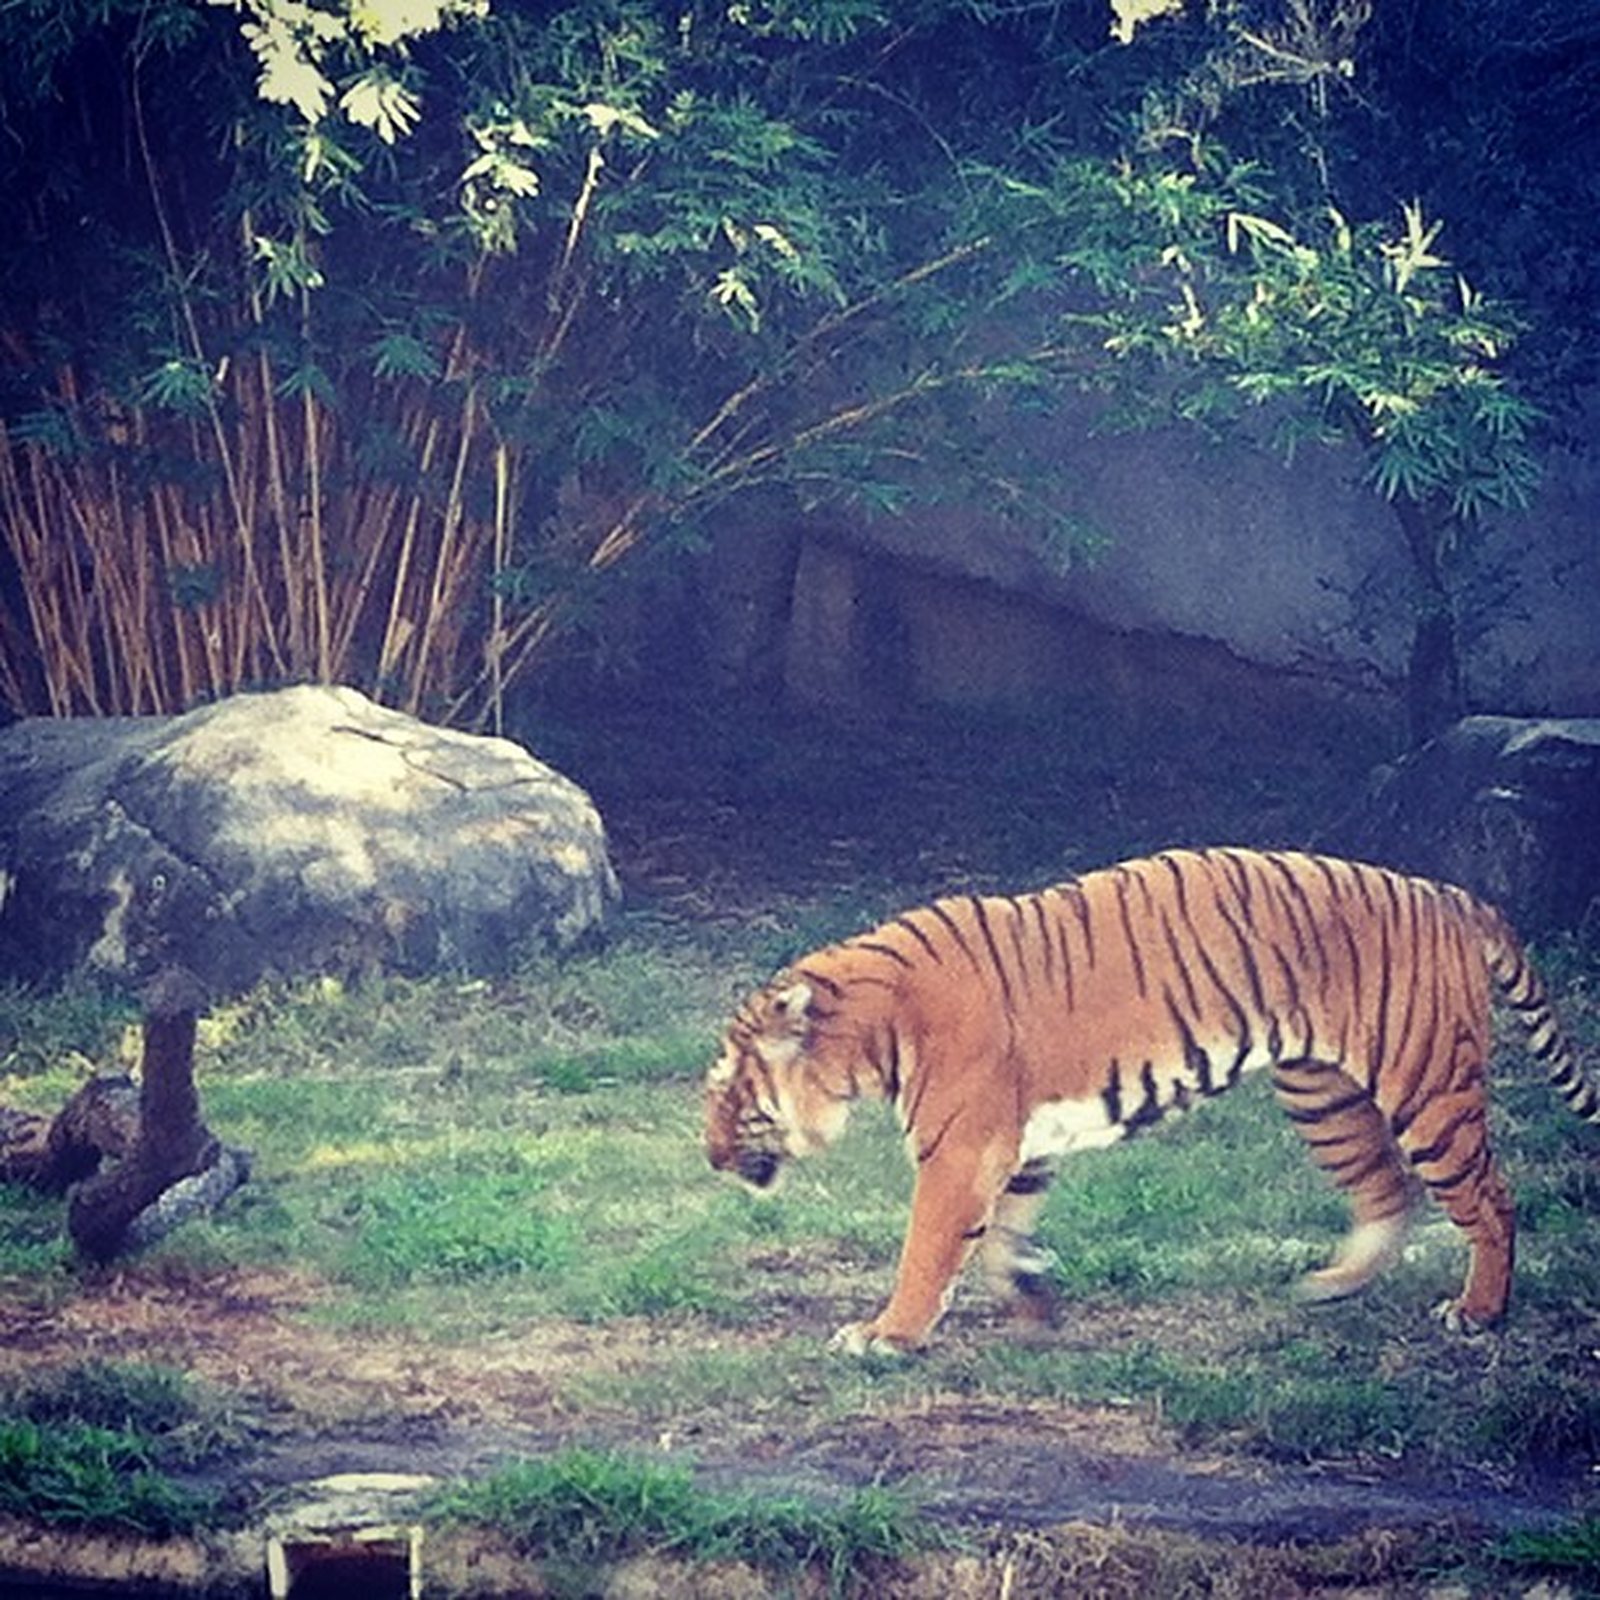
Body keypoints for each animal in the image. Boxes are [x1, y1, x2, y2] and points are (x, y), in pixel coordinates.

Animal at [703, 848, 1598, 1356]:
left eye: (729, 1092)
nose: (708, 1158)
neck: (870, 1032)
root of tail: (1448, 893)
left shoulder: (961, 1150)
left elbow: (928, 1251)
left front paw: (886, 1337)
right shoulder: (1018, 1146)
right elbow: (1005, 1238)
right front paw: (1034, 1308)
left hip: (1427, 1091)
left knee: (1491, 1200)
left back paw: (1479, 1313)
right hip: (1323, 1095)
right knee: (1388, 1191)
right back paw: (1331, 1285)